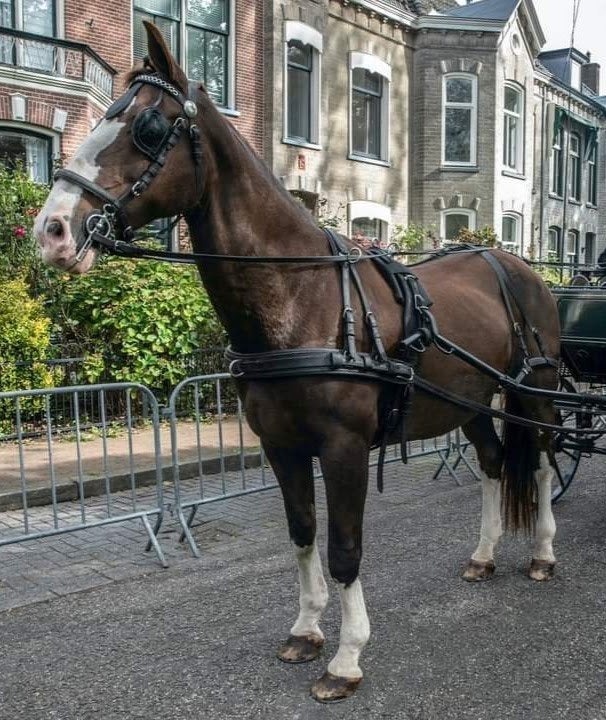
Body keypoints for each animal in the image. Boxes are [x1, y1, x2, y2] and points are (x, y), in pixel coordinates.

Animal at [34, 23, 560, 703]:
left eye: (147, 127)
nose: (51, 230)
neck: (300, 296)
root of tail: (516, 264)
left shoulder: (343, 448)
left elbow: (344, 549)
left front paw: (346, 658)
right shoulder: (282, 446)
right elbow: (304, 532)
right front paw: (307, 630)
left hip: (537, 392)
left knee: (542, 463)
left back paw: (543, 553)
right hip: (468, 403)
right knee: (496, 464)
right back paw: (484, 555)